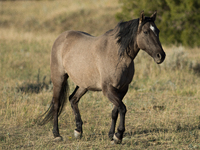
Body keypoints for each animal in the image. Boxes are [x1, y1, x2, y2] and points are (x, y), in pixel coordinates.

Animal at [37, 11, 166, 144]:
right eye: (145, 32)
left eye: (157, 31)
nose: (161, 56)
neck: (117, 55)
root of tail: (61, 37)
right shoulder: (108, 89)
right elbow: (123, 108)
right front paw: (118, 136)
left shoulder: (122, 89)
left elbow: (115, 111)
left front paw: (111, 135)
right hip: (59, 79)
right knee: (57, 104)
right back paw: (57, 134)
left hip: (83, 85)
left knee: (73, 99)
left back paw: (78, 131)